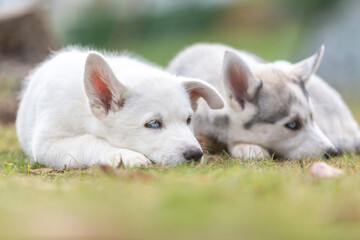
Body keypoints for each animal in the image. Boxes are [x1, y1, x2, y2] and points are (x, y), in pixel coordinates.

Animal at [17, 47, 225, 169]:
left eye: (188, 120)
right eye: (153, 124)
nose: (195, 154)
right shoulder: (47, 142)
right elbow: (87, 141)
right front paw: (126, 156)